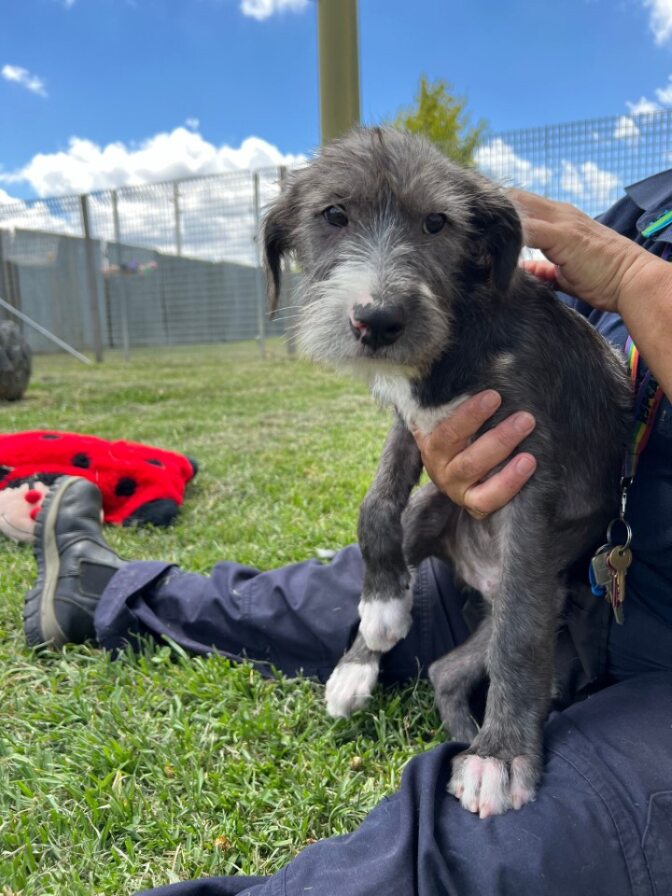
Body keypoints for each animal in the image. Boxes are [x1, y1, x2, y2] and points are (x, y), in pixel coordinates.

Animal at [262, 126, 632, 820]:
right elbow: (374, 505)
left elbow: (519, 639)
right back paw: (361, 663)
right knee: (440, 660)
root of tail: (478, 574)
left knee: (484, 644)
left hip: (539, 589)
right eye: (333, 215)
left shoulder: (529, 478)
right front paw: (380, 609)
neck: (463, 332)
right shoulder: (416, 424)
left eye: (437, 223)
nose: (378, 321)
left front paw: (503, 756)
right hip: (434, 511)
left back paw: (473, 741)